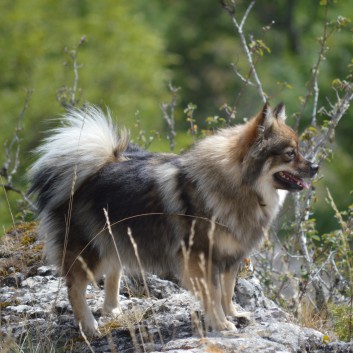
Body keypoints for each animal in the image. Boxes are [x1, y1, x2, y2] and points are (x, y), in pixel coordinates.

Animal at [28, 102, 318, 336]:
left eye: (299, 150)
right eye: (290, 153)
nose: (315, 166)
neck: (239, 185)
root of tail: (91, 169)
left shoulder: (230, 256)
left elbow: (226, 291)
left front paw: (233, 314)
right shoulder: (201, 258)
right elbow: (213, 295)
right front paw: (221, 324)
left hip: (117, 239)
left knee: (113, 273)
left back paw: (113, 310)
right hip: (90, 250)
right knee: (74, 287)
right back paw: (88, 326)